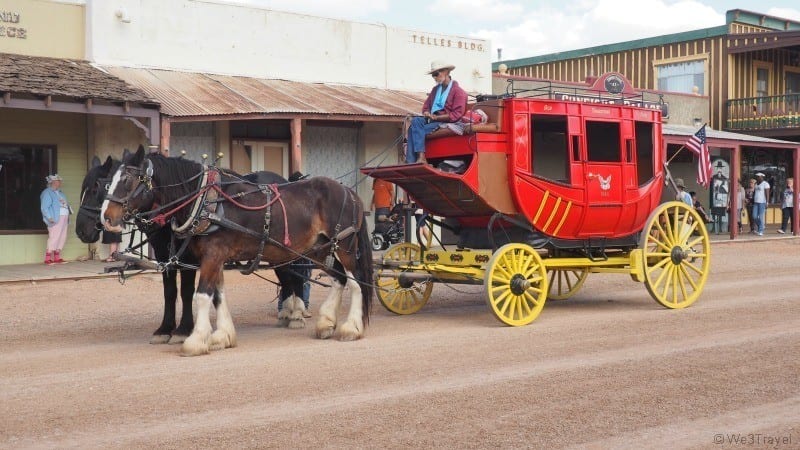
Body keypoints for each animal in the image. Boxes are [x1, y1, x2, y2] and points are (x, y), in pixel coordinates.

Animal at [77, 151, 310, 344]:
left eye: (99, 187)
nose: (81, 230)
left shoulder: (187, 257)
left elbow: (187, 291)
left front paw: (183, 329)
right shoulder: (165, 256)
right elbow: (170, 292)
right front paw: (165, 329)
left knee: (294, 275)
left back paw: (297, 313)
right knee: (286, 276)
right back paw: (287, 311)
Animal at [101, 147, 374, 356]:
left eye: (126, 180)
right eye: (107, 182)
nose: (106, 218)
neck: (205, 202)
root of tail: (348, 191)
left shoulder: (212, 255)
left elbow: (202, 295)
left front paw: (195, 340)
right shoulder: (214, 258)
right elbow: (218, 295)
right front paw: (222, 336)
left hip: (345, 246)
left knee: (356, 283)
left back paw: (351, 328)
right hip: (319, 249)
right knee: (339, 279)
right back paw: (326, 323)